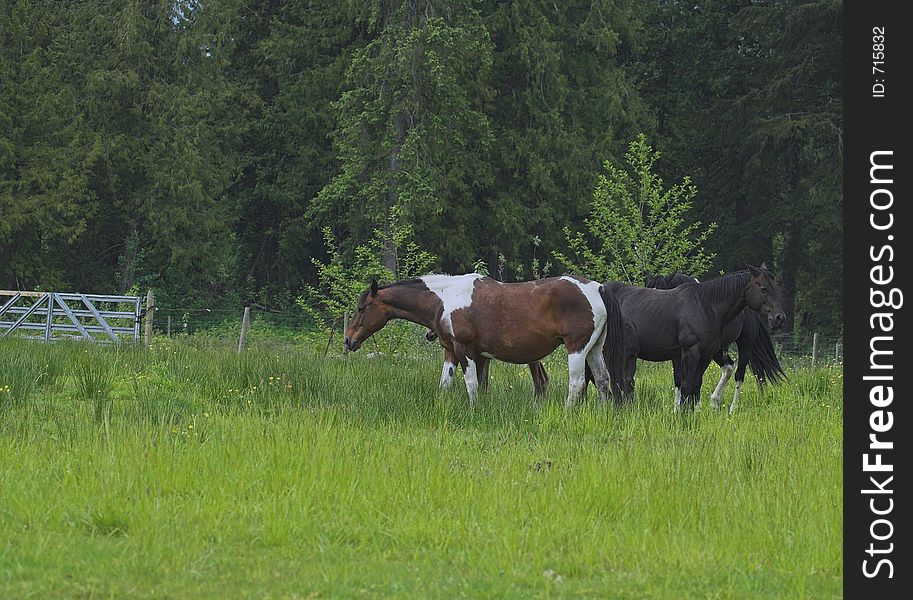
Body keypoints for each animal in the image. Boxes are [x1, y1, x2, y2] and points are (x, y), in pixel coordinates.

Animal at [342, 274, 628, 406]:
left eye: (362, 308)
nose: (348, 340)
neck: (445, 299)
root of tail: (597, 287)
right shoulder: (451, 351)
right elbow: (447, 384)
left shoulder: (465, 349)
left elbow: (471, 384)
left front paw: (473, 410)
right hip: (594, 349)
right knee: (603, 381)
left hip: (577, 349)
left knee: (577, 383)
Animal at [604, 262, 788, 408]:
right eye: (763, 288)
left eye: (776, 287)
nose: (779, 318)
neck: (705, 306)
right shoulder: (689, 352)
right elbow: (685, 384)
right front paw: (682, 412)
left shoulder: (704, 354)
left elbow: (695, 384)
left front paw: (690, 411)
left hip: (744, 346)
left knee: (736, 373)